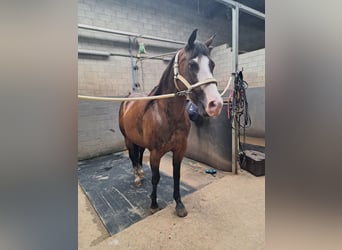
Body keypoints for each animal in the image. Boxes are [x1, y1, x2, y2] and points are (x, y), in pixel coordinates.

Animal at [119, 29, 223, 217]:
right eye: (192, 65)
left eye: (212, 64)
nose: (215, 104)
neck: (167, 116)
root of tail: (128, 98)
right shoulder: (155, 153)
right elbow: (156, 178)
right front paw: (153, 204)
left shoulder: (179, 150)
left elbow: (176, 176)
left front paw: (179, 205)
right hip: (128, 140)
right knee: (132, 157)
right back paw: (137, 176)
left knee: (139, 155)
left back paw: (141, 173)